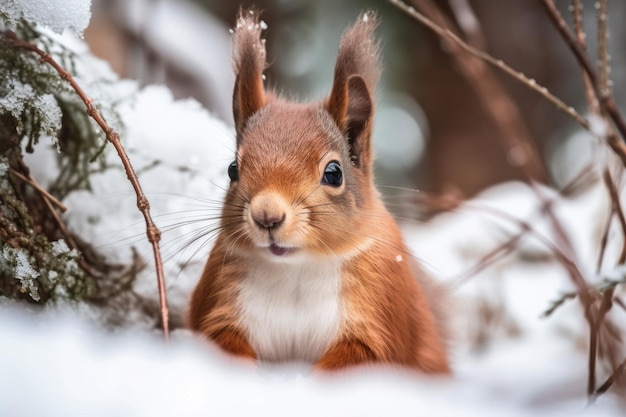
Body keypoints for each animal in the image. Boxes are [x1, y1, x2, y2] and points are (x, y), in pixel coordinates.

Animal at [186, 8, 448, 372]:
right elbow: (222, 343)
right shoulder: (219, 296)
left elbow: (362, 358)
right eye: (232, 169)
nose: (267, 216)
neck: (298, 267)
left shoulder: (380, 310)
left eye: (334, 173)